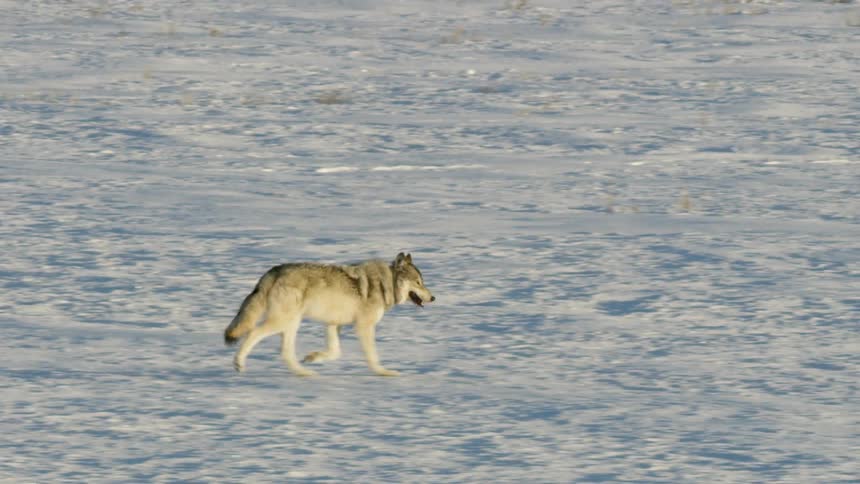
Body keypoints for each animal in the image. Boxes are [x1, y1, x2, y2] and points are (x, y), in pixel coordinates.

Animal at [224, 252, 434, 377]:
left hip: (292, 324)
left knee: (286, 353)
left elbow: (335, 352)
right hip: (283, 321)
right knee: (253, 333)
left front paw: (313, 358)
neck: (386, 284)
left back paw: (304, 373)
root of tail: (274, 271)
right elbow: (372, 356)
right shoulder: (364, 327)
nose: (433, 298)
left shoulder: (334, 324)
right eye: (418, 282)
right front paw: (383, 372)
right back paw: (239, 363)